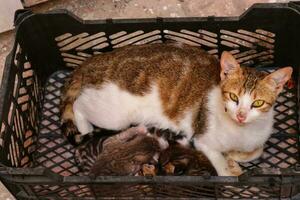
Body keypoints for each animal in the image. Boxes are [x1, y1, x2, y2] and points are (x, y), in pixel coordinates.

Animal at [59, 43, 292, 176]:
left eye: (258, 103)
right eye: (233, 97)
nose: (241, 115)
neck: (242, 132)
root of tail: (95, 60)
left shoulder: (257, 139)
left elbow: (255, 151)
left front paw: (234, 158)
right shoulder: (203, 140)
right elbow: (221, 166)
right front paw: (229, 168)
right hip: (114, 116)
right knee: (78, 105)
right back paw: (86, 128)